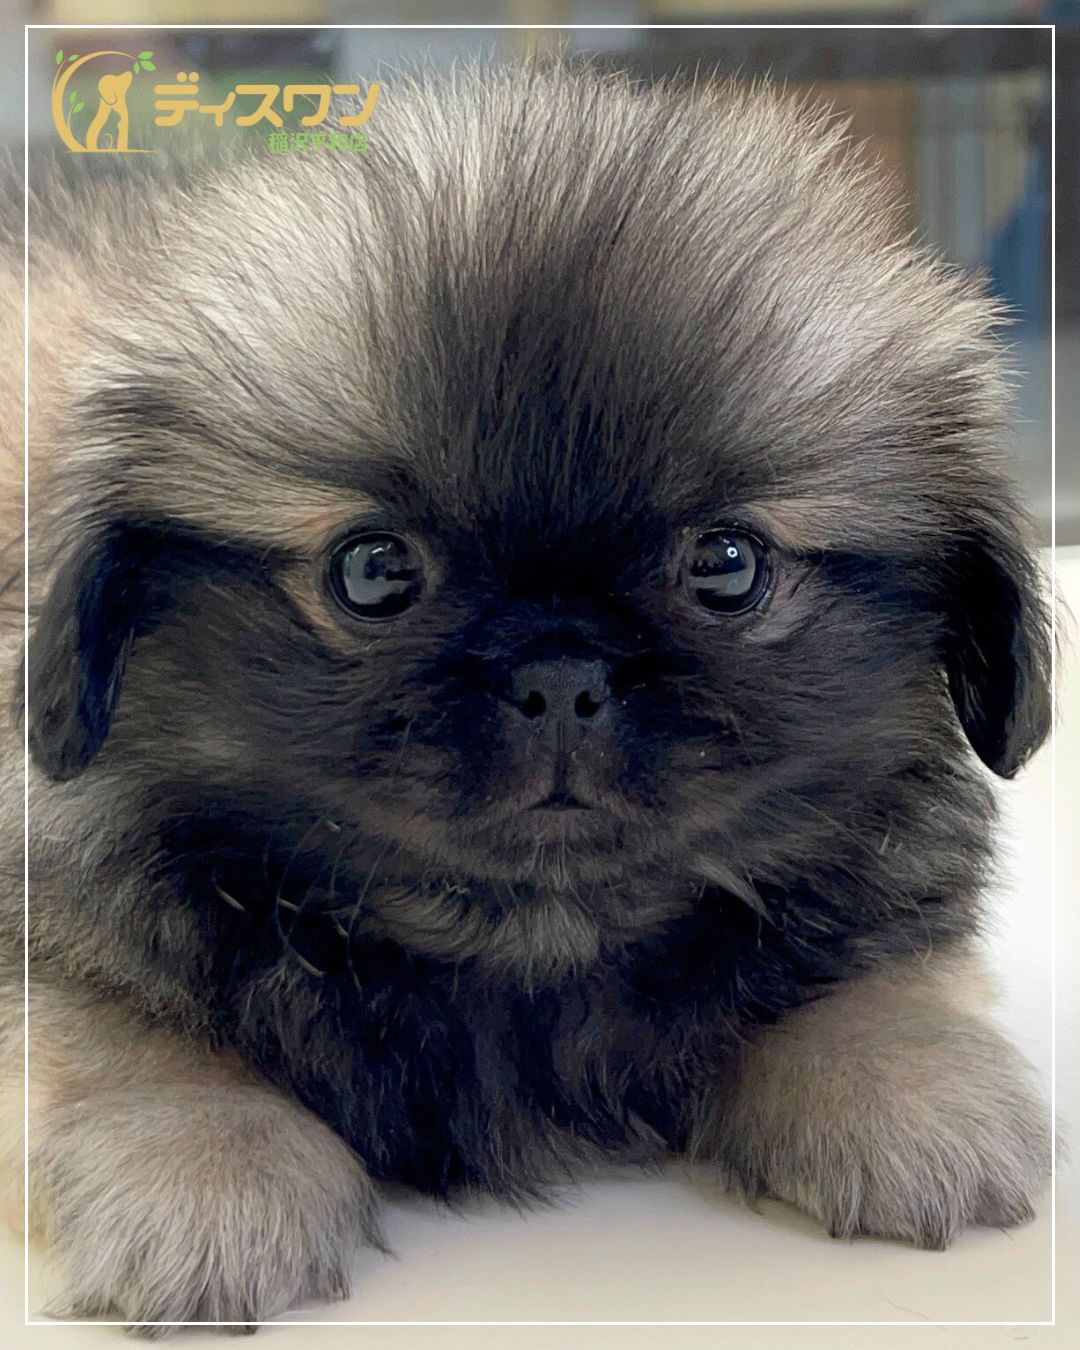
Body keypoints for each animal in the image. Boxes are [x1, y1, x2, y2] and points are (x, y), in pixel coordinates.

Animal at [0, 61, 1053, 1329]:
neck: (529, 937)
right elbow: (117, 1032)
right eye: (372, 572)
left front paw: (901, 1080)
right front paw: (203, 1167)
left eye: (728, 565)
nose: (559, 672)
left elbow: (869, 980)